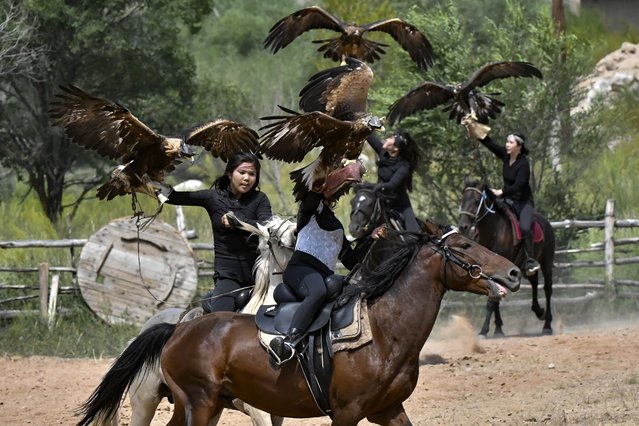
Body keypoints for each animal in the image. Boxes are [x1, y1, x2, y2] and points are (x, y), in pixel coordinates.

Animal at [158, 221, 524, 424]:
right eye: (465, 245)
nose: (514, 272)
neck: (384, 334)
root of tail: (180, 330)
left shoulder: (389, 410)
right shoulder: (347, 412)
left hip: (197, 406)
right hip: (201, 403)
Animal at [460, 177, 556, 336]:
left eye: (476, 200)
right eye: (462, 199)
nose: (463, 226)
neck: (495, 232)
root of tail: (546, 223)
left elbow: (492, 301)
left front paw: (484, 330)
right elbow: (495, 295)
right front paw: (498, 328)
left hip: (547, 262)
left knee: (547, 289)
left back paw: (547, 325)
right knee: (534, 282)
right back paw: (539, 312)